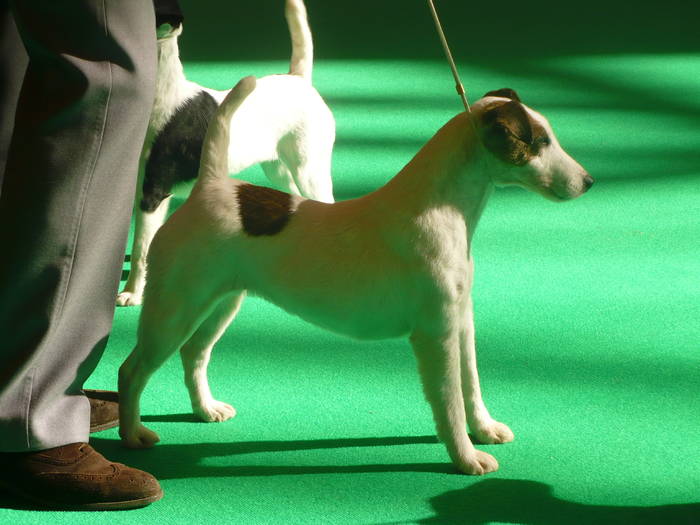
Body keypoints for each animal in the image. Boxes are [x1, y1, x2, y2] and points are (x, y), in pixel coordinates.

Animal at [116, 0, 334, 308]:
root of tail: (298, 80)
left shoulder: (153, 192)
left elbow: (140, 249)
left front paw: (132, 293)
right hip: (278, 169)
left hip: (309, 169)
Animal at [117, 79, 592, 474]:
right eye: (538, 141)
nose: (588, 181)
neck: (441, 207)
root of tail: (209, 188)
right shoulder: (435, 333)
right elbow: (450, 400)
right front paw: (466, 458)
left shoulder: (461, 322)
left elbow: (471, 386)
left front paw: (486, 430)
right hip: (174, 309)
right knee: (132, 370)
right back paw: (133, 435)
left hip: (220, 302)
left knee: (194, 354)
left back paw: (206, 409)